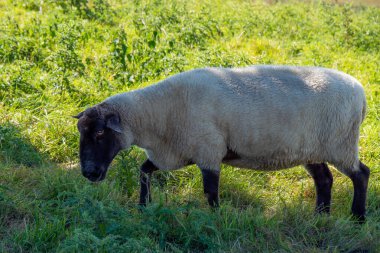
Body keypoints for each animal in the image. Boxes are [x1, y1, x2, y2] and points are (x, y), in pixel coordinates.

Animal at [75, 65, 372, 221]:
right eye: (81, 133)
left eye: (100, 133)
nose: (89, 173)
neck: (158, 114)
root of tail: (360, 92)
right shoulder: (174, 153)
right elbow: (144, 171)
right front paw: (143, 206)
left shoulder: (209, 151)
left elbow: (210, 192)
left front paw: (215, 219)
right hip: (312, 149)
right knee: (324, 180)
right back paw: (321, 216)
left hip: (342, 145)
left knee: (361, 174)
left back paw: (357, 217)